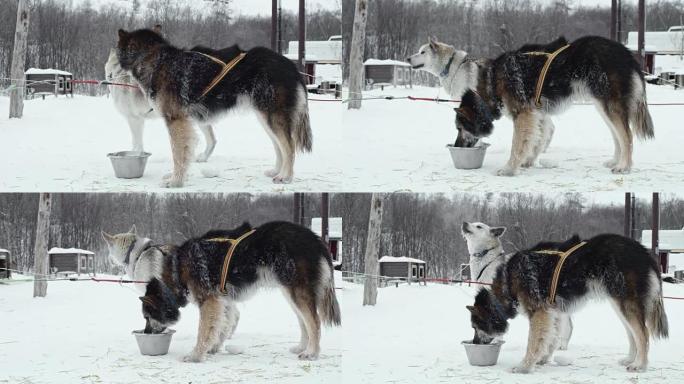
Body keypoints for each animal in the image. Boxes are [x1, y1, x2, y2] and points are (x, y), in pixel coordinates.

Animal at [102, 220, 342, 362]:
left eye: (147, 317)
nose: (147, 333)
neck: (176, 268)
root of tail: (315, 238)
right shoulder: (222, 301)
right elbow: (220, 327)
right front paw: (213, 347)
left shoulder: (209, 301)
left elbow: (204, 330)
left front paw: (196, 354)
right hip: (290, 293)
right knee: (304, 322)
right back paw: (302, 347)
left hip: (297, 292)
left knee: (314, 322)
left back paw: (311, 352)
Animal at [115, 27, 312, 187]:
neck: (155, 59)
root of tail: (290, 65)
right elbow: (184, 153)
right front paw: (176, 177)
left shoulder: (175, 120)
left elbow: (178, 154)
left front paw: (175, 181)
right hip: (266, 118)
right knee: (279, 147)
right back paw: (276, 171)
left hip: (273, 117)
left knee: (289, 147)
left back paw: (286, 176)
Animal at [408, 35, 656, 176]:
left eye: (460, 128)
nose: (457, 145)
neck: (491, 81)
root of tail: (626, 53)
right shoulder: (537, 113)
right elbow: (536, 139)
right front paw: (528, 161)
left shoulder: (523, 114)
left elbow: (517, 144)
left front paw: (510, 168)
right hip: (602, 107)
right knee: (618, 136)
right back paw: (616, 160)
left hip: (609, 105)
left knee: (627, 136)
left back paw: (624, 166)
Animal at [462, 222, 576, 352]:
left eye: (479, 226)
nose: (464, 223)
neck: (486, 262)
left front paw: (496, 340)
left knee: (567, 325)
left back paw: (562, 344)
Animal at [468, 232, 664, 374]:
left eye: (475, 327)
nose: (475, 342)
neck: (508, 280)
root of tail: (643, 251)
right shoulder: (552, 312)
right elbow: (551, 338)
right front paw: (543, 358)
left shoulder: (538, 312)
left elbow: (533, 343)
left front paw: (525, 366)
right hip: (619, 305)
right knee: (632, 334)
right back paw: (631, 359)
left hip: (626, 303)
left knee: (643, 334)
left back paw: (640, 365)